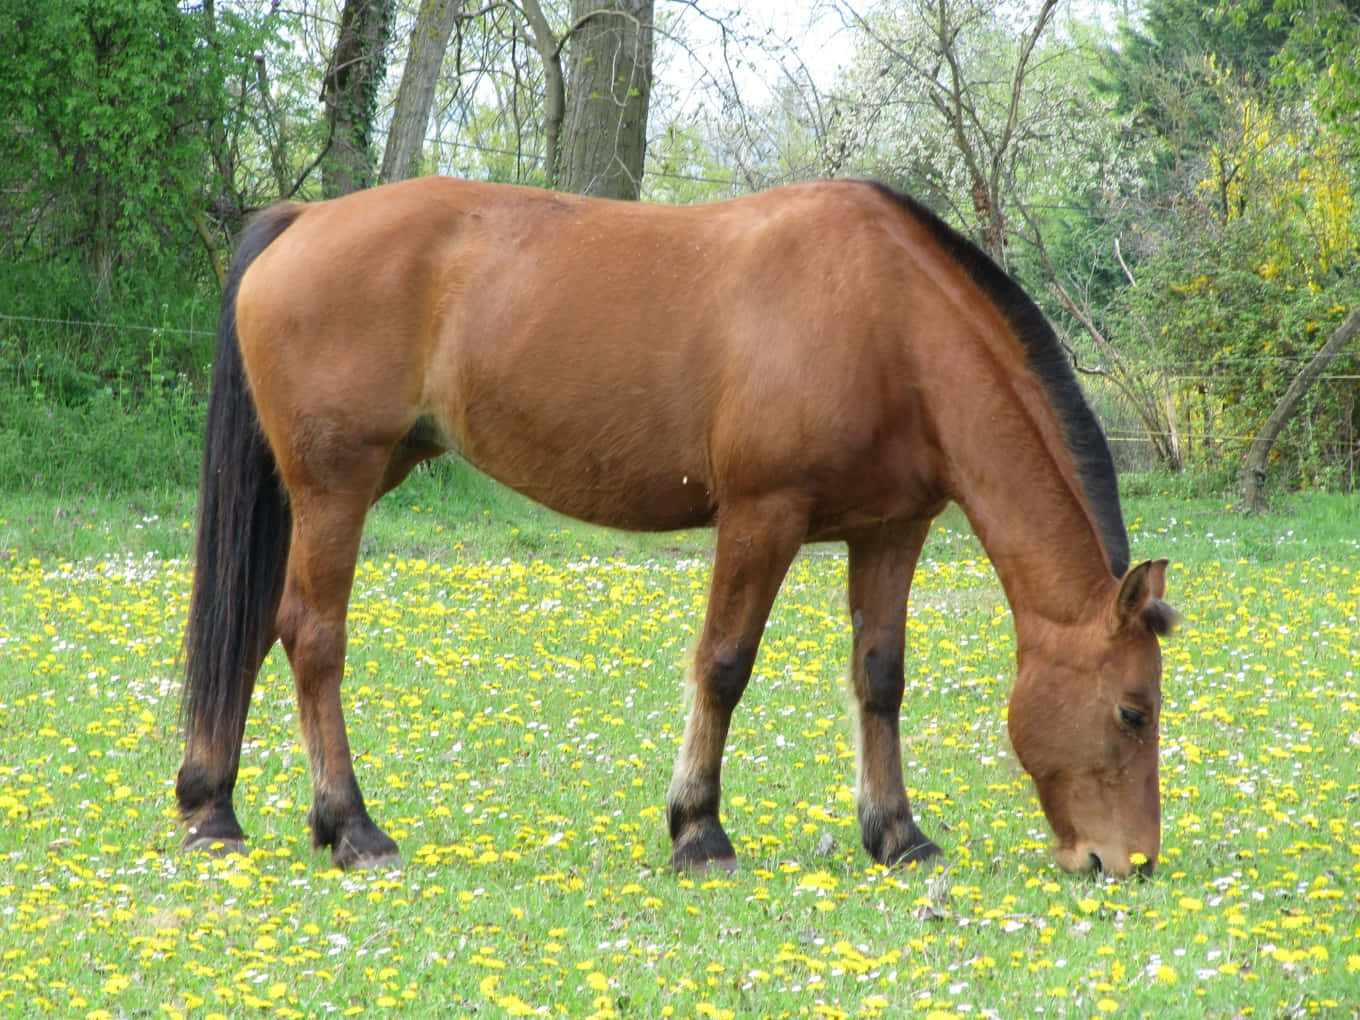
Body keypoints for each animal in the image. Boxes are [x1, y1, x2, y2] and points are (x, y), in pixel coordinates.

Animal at [176, 177, 1176, 878]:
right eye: (1134, 711)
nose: (1125, 862)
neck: (889, 323)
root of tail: (305, 219)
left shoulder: (891, 531)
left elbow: (880, 679)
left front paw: (896, 833)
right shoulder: (762, 516)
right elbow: (725, 665)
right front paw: (699, 829)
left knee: (254, 630)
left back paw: (212, 809)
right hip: (336, 487)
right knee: (312, 638)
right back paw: (351, 827)